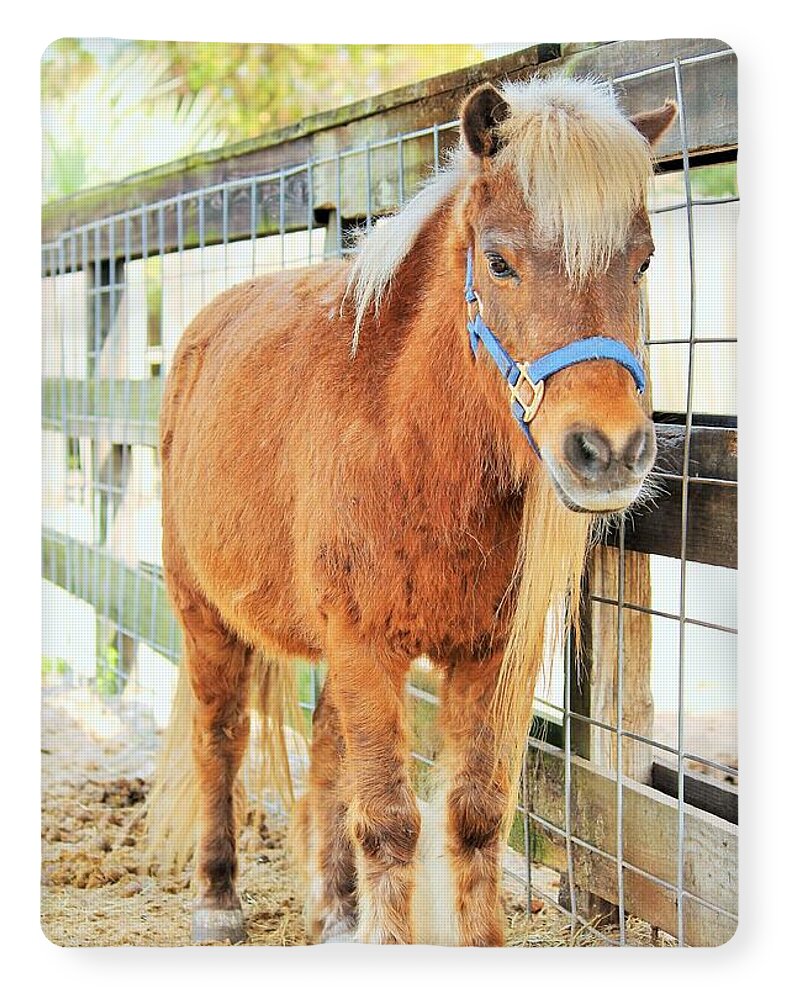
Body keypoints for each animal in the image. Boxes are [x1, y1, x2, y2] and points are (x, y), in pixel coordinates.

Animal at [147, 75, 676, 946]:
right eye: (498, 262)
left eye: (641, 261)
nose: (607, 450)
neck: (413, 446)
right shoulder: (365, 646)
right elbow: (391, 821)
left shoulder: (489, 656)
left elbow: (474, 814)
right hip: (205, 615)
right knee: (219, 738)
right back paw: (218, 898)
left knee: (327, 751)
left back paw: (335, 907)